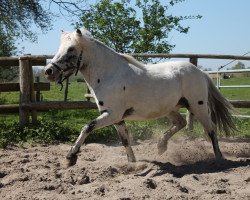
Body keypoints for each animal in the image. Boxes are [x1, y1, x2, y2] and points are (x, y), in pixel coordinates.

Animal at [44, 28, 235, 166]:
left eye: (71, 49)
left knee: (211, 130)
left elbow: (87, 127)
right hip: (170, 108)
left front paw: (71, 157)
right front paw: (132, 164)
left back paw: (219, 159)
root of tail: (201, 72)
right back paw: (161, 147)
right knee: (181, 123)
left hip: (197, 106)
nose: (49, 71)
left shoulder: (112, 114)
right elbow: (125, 140)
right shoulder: (116, 118)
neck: (109, 74)